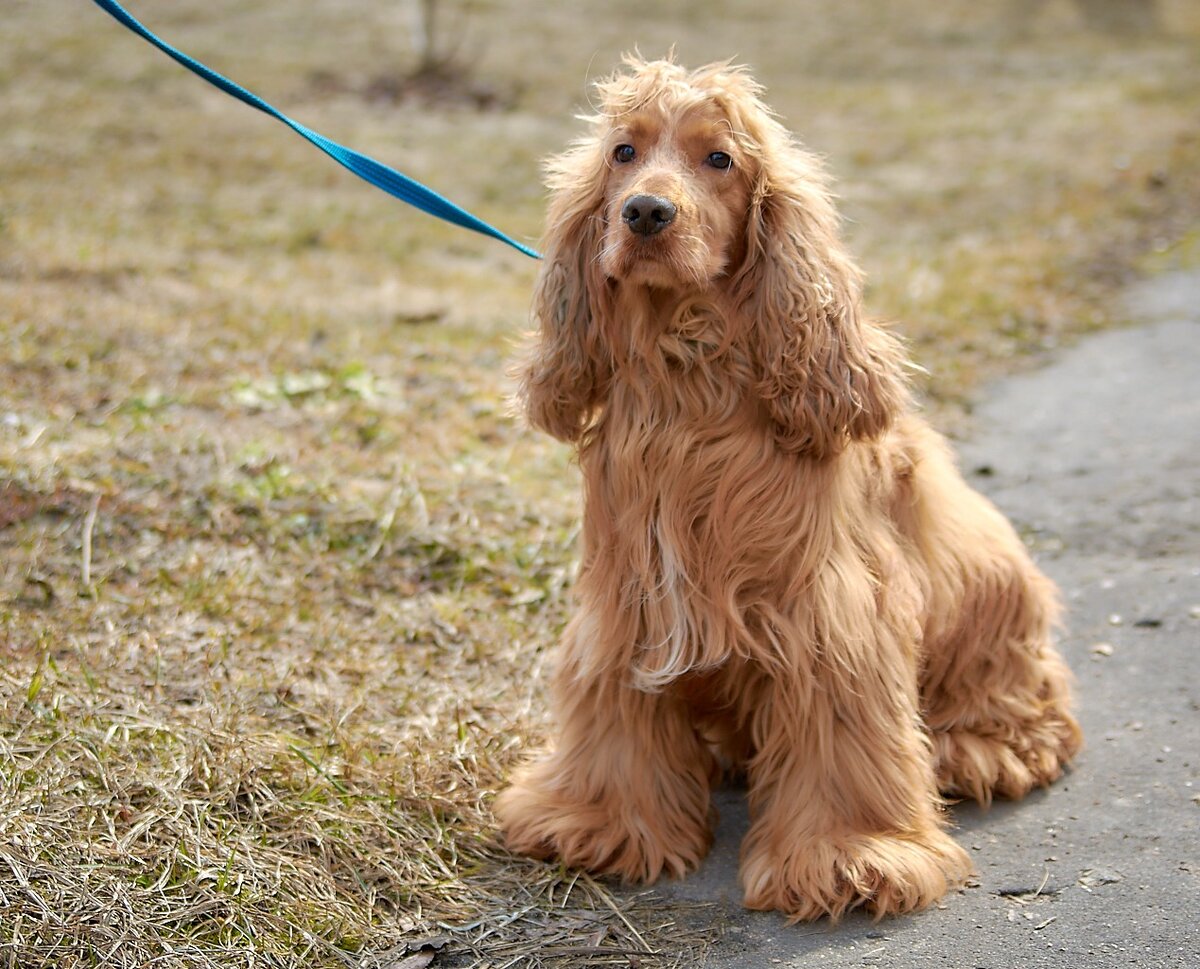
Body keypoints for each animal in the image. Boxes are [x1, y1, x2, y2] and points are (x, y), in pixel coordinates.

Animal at [492, 54, 1084, 925]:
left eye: (719, 159)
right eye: (623, 152)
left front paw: (850, 855)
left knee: (1034, 712)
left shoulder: (828, 617)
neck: (690, 376)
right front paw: (597, 820)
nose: (644, 213)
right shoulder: (627, 604)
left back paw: (976, 747)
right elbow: (615, 711)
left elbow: (839, 734)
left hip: (994, 606)